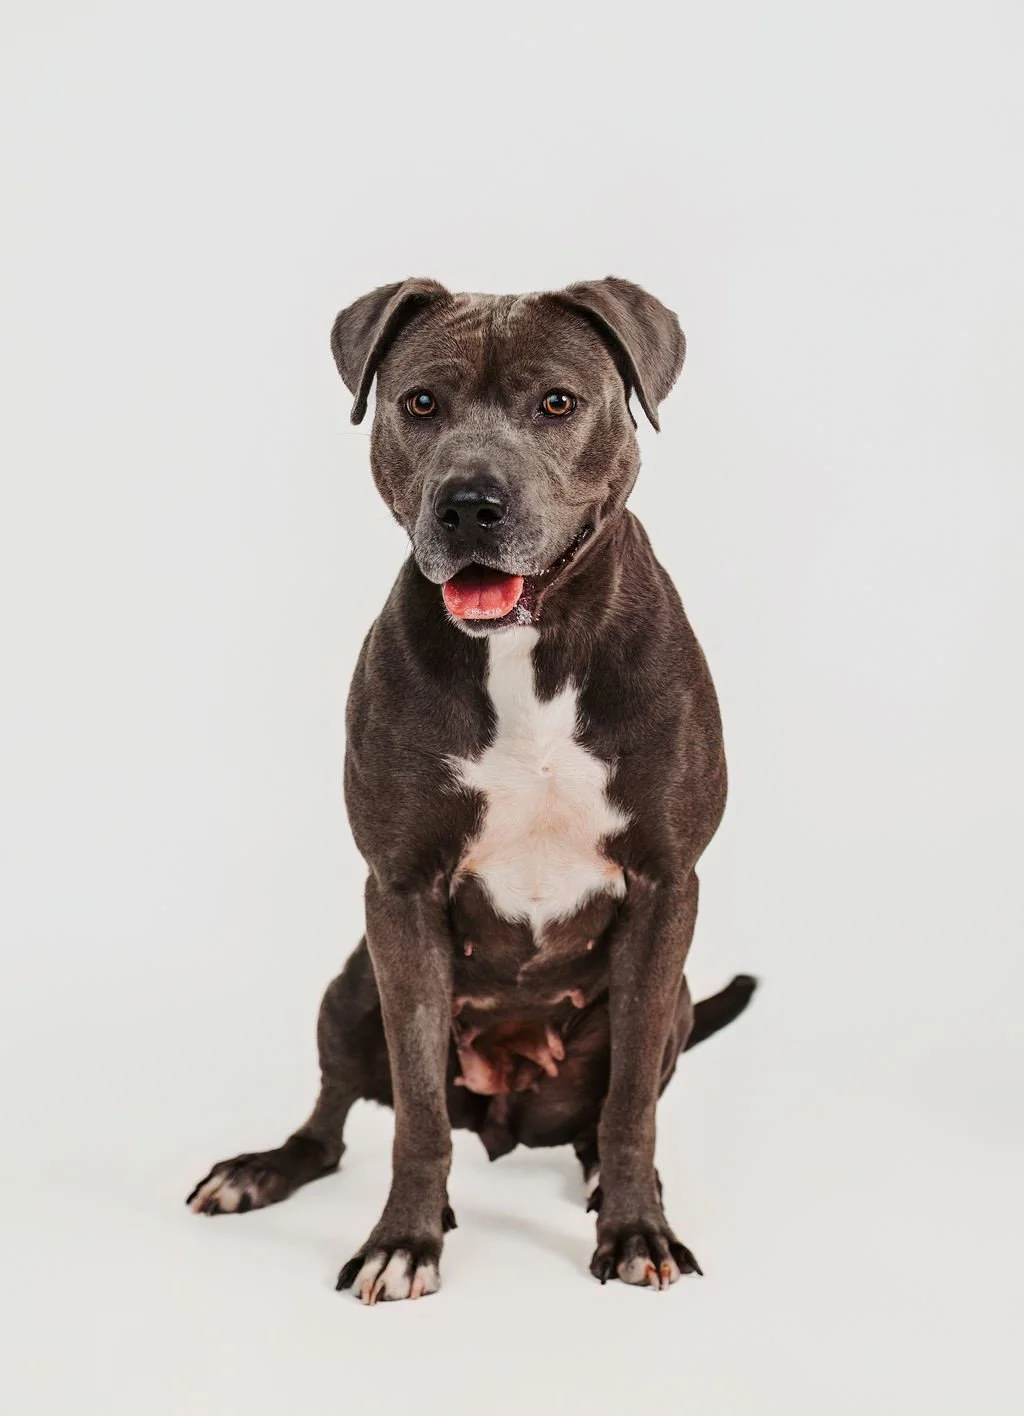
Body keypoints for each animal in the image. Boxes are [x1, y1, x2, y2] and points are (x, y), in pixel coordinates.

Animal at [187, 276, 756, 1302]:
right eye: (421, 404)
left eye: (558, 403)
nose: (469, 505)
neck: (526, 651)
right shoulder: (400, 891)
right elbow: (415, 1109)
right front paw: (403, 1240)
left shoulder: (667, 886)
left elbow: (630, 1109)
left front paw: (637, 1230)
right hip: (349, 986)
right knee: (335, 1126)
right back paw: (262, 1170)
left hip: (681, 996)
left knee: (607, 1112)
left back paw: (615, 1185)